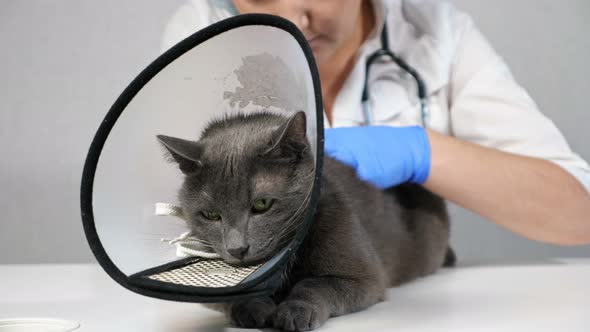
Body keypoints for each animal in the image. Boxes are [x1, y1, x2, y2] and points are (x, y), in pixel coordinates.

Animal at [157, 110, 454, 330]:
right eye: (211, 215)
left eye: (262, 204)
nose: (237, 248)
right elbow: (227, 298)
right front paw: (255, 309)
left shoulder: (365, 277)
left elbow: (315, 284)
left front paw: (294, 312)